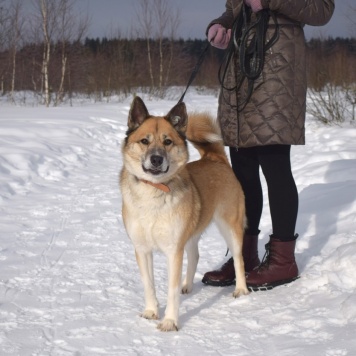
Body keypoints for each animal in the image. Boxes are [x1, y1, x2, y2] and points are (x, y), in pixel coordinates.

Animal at [119, 95, 248, 330]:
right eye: (145, 141)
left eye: (168, 142)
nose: (157, 159)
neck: (154, 191)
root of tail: (215, 159)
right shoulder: (142, 249)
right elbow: (148, 284)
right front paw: (151, 311)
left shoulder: (173, 250)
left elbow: (170, 290)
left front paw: (170, 321)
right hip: (191, 232)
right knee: (195, 255)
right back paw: (187, 285)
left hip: (230, 226)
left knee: (238, 258)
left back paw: (241, 289)